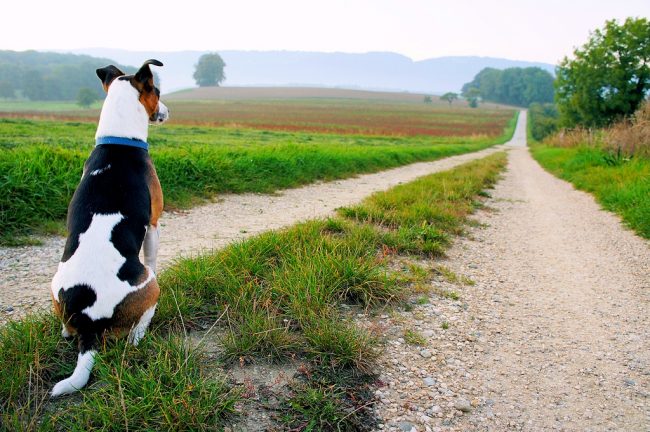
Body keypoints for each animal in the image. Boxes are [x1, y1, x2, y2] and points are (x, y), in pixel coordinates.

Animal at [49, 59, 168, 396]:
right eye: (157, 91)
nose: (167, 111)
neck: (118, 142)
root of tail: (89, 323)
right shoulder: (154, 222)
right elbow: (153, 255)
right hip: (150, 284)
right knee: (139, 326)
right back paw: (140, 335)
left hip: (54, 286)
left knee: (65, 328)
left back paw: (67, 331)